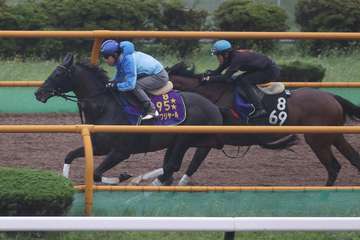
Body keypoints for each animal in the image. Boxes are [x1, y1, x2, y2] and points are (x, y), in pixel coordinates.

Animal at [34, 54, 225, 184]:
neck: (105, 107)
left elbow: (96, 174)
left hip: (184, 140)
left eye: (58, 74)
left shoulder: (121, 151)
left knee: (172, 166)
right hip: (175, 142)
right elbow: (70, 156)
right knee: (169, 168)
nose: (38, 93)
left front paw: (123, 176)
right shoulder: (99, 146)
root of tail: (214, 107)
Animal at [165, 62, 360, 186]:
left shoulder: (213, 137)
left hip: (317, 140)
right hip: (333, 136)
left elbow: (193, 161)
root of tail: (332, 97)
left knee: (333, 167)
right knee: (351, 160)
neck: (214, 95)